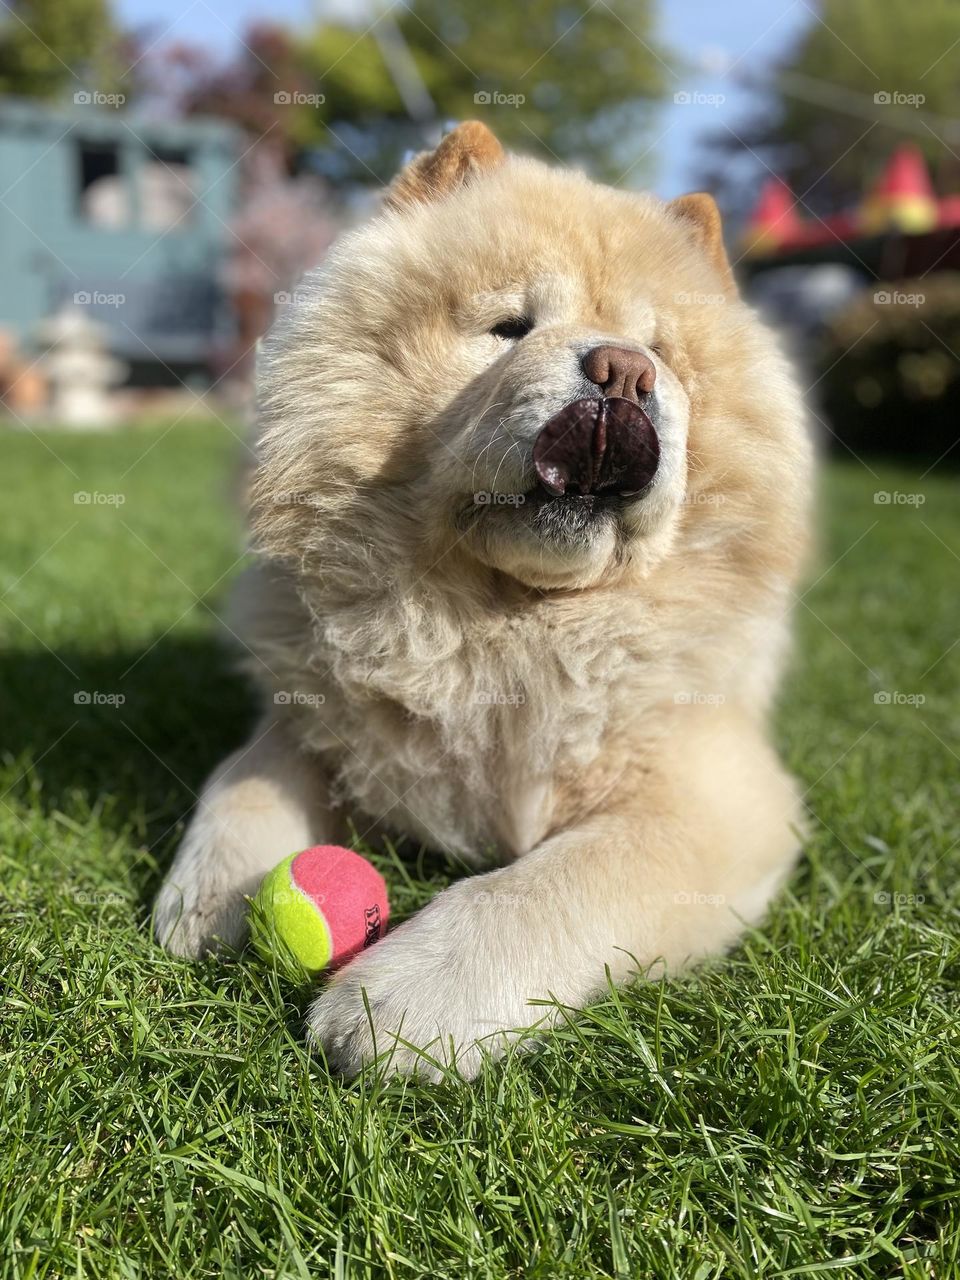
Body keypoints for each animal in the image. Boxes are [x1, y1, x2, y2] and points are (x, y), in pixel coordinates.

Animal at [154, 122, 814, 1080]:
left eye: (661, 351)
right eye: (510, 328)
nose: (625, 370)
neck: (503, 628)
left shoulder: (714, 797)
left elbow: (556, 881)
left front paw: (398, 1002)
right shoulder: (312, 716)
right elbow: (242, 779)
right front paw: (211, 899)